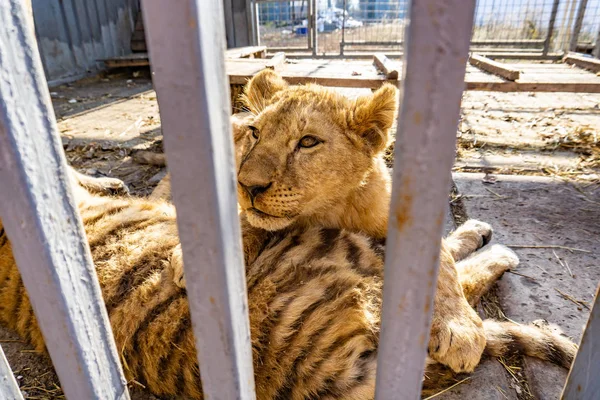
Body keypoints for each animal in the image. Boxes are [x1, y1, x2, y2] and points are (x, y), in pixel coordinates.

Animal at [0, 70, 576, 398]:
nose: (250, 184)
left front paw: (457, 328)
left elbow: (441, 262)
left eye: (308, 142)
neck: (338, 207)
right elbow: (239, 222)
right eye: (259, 134)